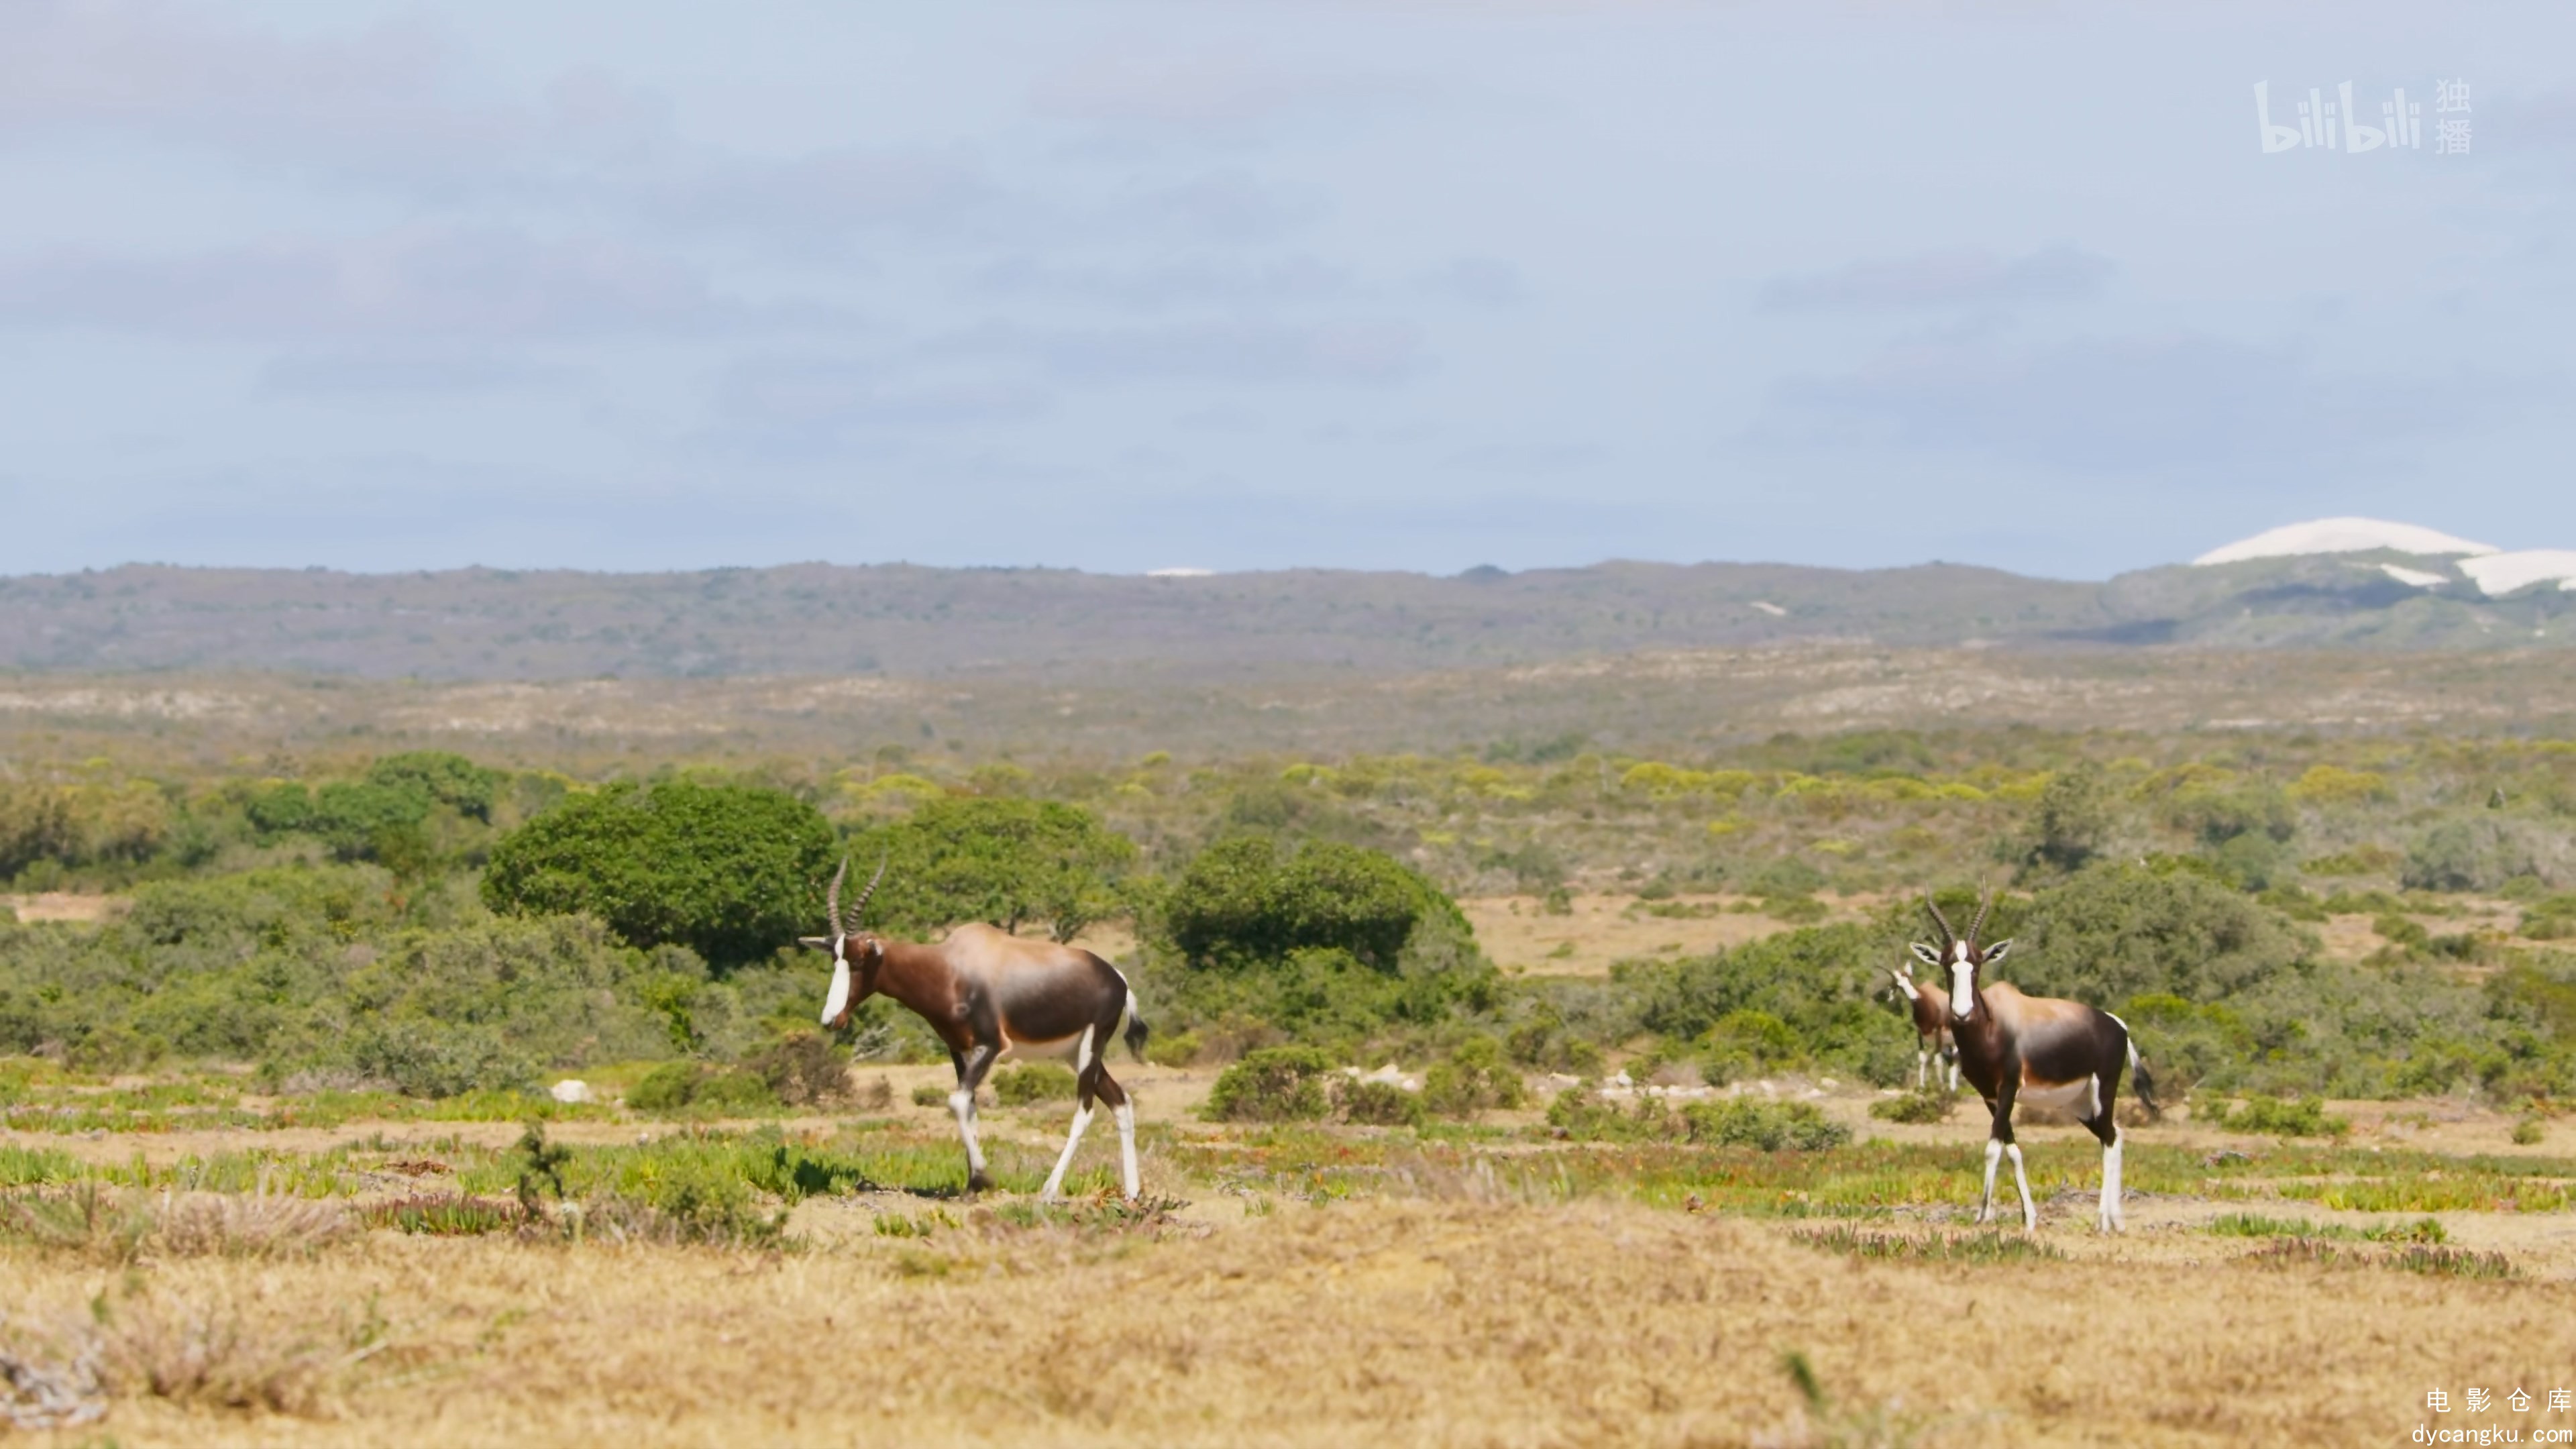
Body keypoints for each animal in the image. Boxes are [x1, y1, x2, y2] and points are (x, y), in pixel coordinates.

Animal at [788, 851, 1143, 1191]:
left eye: (860, 959)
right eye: (834, 958)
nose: (831, 1019)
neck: (951, 968)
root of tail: (1118, 978)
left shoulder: (992, 1046)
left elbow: (957, 1101)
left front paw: (984, 1177)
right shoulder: (960, 1049)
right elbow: (969, 1107)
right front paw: (973, 1184)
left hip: (1090, 1049)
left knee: (1085, 1110)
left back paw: (1050, 1190)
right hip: (1075, 1053)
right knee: (1121, 1101)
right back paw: (1132, 1193)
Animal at [1896, 954, 1947, 1087]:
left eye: (1909, 978)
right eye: (1899, 985)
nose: (1914, 997)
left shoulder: (1938, 1031)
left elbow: (1938, 1059)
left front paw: (1941, 1086)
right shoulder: (1920, 1033)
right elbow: (1923, 1058)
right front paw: (1922, 1086)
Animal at [1916, 881, 2153, 1227]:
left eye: (1977, 963)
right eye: (1948, 965)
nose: (1961, 1013)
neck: (1993, 1025)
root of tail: (2118, 1024)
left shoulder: (2009, 1089)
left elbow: (1992, 1148)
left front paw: (1983, 1215)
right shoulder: (1990, 1097)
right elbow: (2012, 1149)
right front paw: (2028, 1218)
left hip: (2103, 1091)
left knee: (2109, 1139)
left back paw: (2102, 1221)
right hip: (2079, 1104)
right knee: (2115, 1134)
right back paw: (2116, 1219)